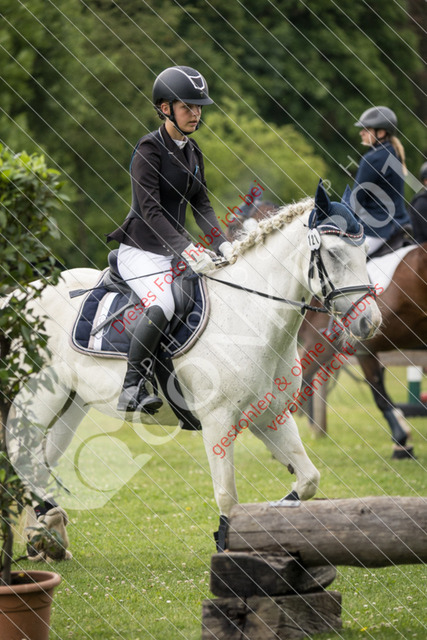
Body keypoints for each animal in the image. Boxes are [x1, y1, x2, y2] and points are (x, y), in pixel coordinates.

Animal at [5, 182, 381, 556]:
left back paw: (47, 535)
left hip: (72, 403)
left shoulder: (272, 416)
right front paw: (228, 548)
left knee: (42, 461)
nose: (370, 322)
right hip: (38, 398)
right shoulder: (218, 423)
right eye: (334, 254)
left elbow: (308, 481)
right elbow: (228, 497)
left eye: (365, 253)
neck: (250, 315)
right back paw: (46, 530)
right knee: (22, 456)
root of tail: (14, 300)